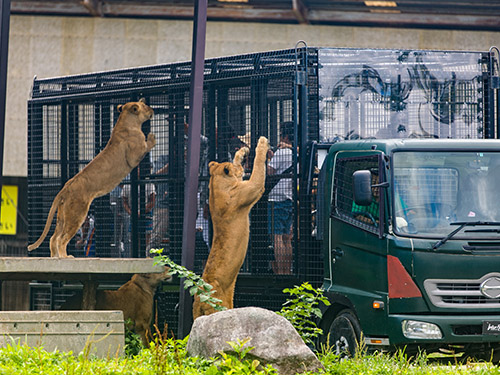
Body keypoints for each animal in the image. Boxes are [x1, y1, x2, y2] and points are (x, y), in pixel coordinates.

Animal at [27, 97, 155, 258]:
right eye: (145, 106)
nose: (153, 110)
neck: (126, 122)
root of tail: (66, 187)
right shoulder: (133, 156)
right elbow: (146, 146)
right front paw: (152, 137)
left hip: (63, 215)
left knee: (53, 237)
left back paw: (56, 257)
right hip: (77, 213)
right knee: (62, 238)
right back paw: (65, 257)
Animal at [191, 136, 270, 320]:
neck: (215, 184)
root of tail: (198, 300)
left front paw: (241, 152)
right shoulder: (251, 188)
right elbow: (258, 167)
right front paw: (261, 144)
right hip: (219, 308)